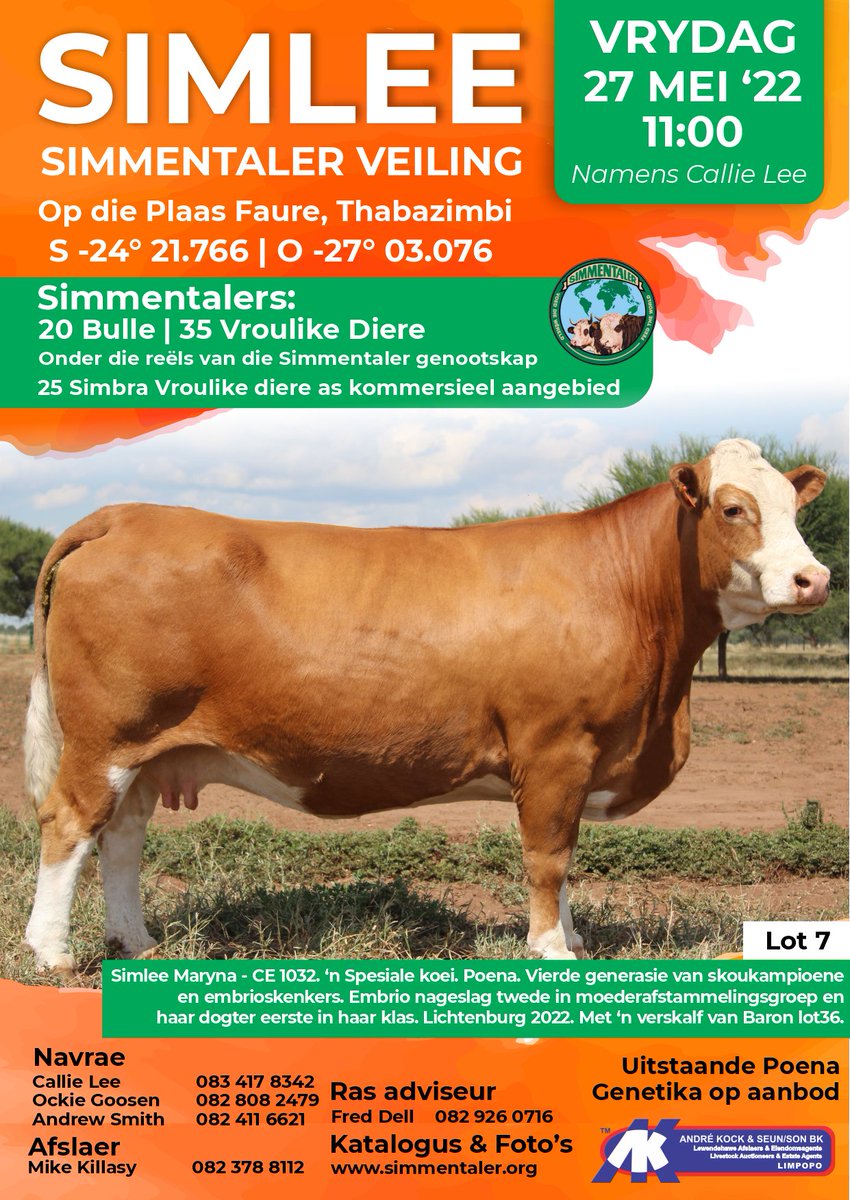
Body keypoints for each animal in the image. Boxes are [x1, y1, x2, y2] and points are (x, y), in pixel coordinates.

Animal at [23, 439, 830, 973]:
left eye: (795, 506)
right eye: (733, 508)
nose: (813, 578)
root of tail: (123, 514)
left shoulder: (581, 759)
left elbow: (566, 858)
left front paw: (570, 938)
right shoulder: (556, 748)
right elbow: (548, 856)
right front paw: (550, 950)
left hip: (148, 752)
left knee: (121, 839)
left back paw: (136, 942)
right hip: (105, 739)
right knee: (69, 825)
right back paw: (53, 953)